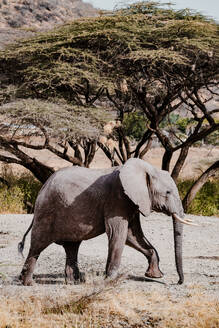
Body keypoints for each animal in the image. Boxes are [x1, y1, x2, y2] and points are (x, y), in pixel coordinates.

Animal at [18, 158, 194, 286]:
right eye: (168, 192)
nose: (178, 282)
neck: (146, 168)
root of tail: (43, 187)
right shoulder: (116, 199)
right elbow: (118, 234)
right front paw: (111, 280)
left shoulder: (132, 202)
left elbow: (133, 236)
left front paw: (155, 275)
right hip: (47, 212)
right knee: (38, 245)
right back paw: (29, 283)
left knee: (72, 247)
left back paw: (74, 282)